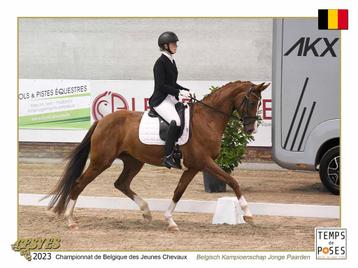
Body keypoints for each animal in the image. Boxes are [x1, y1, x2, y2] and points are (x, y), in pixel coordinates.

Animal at [49, 79, 270, 230]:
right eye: (251, 101)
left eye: (260, 103)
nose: (250, 129)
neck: (207, 119)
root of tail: (102, 121)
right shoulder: (205, 162)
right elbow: (233, 181)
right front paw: (248, 214)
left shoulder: (193, 167)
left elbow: (178, 192)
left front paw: (170, 221)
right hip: (101, 161)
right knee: (79, 183)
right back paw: (70, 220)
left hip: (133, 161)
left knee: (121, 183)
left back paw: (146, 212)